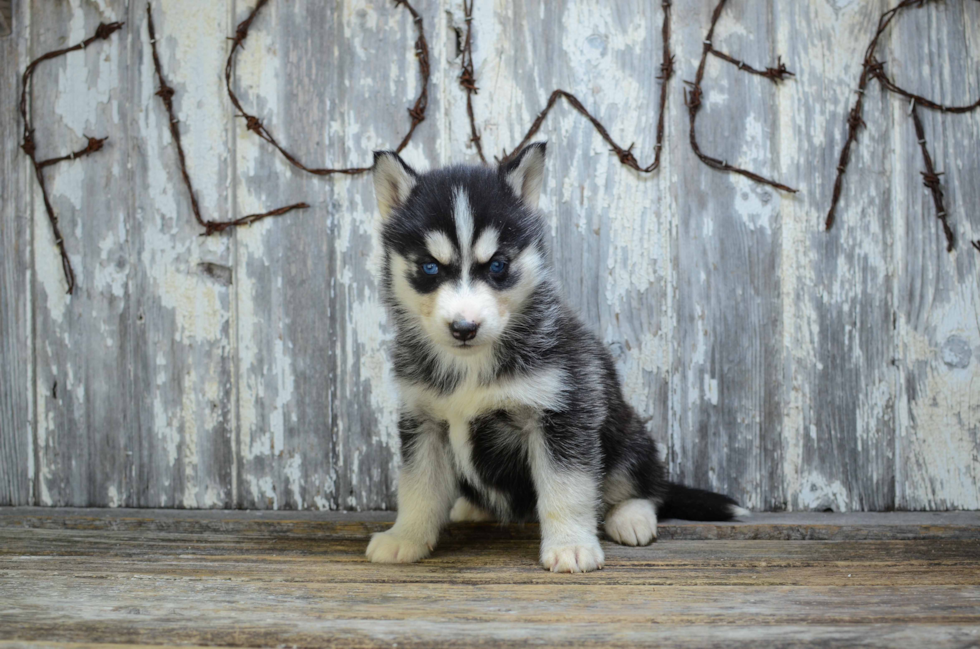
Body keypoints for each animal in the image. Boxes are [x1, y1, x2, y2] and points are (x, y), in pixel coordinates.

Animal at [366, 143, 744, 572]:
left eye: (498, 265)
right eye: (430, 267)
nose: (464, 327)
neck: (472, 366)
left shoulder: (563, 413)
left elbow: (567, 489)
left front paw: (570, 546)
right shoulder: (423, 421)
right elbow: (419, 487)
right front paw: (405, 537)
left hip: (628, 434)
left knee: (647, 486)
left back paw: (631, 515)